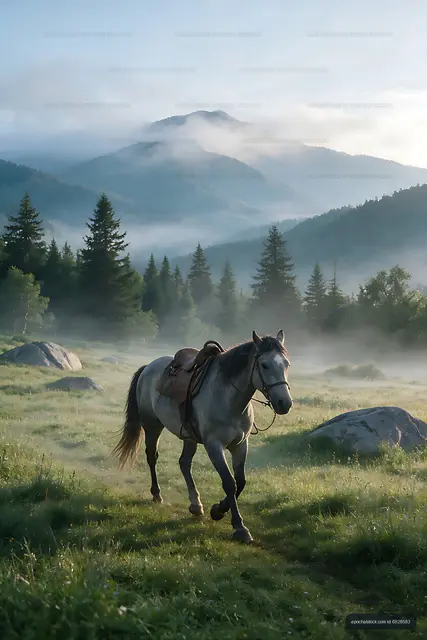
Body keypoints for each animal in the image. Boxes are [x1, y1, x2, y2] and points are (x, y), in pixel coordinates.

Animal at [112, 330, 292, 543]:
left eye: (286, 364)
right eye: (264, 364)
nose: (284, 403)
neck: (227, 398)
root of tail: (148, 367)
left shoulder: (240, 445)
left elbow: (240, 481)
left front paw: (218, 509)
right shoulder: (214, 445)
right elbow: (229, 483)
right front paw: (238, 526)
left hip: (188, 438)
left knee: (184, 463)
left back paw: (195, 504)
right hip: (152, 426)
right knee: (151, 457)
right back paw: (157, 494)